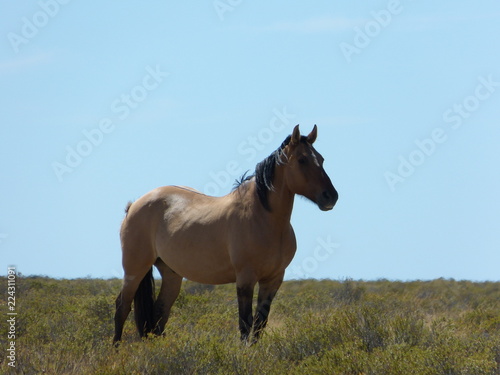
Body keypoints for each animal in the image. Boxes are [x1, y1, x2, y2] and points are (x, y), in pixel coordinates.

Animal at [114, 125, 338, 346]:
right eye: (302, 159)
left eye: (322, 159)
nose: (331, 197)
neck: (263, 218)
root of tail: (135, 205)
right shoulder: (245, 279)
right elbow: (245, 325)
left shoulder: (273, 280)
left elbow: (259, 324)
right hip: (135, 269)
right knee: (122, 307)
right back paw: (116, 348)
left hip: (171, 273)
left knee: (159, 313)